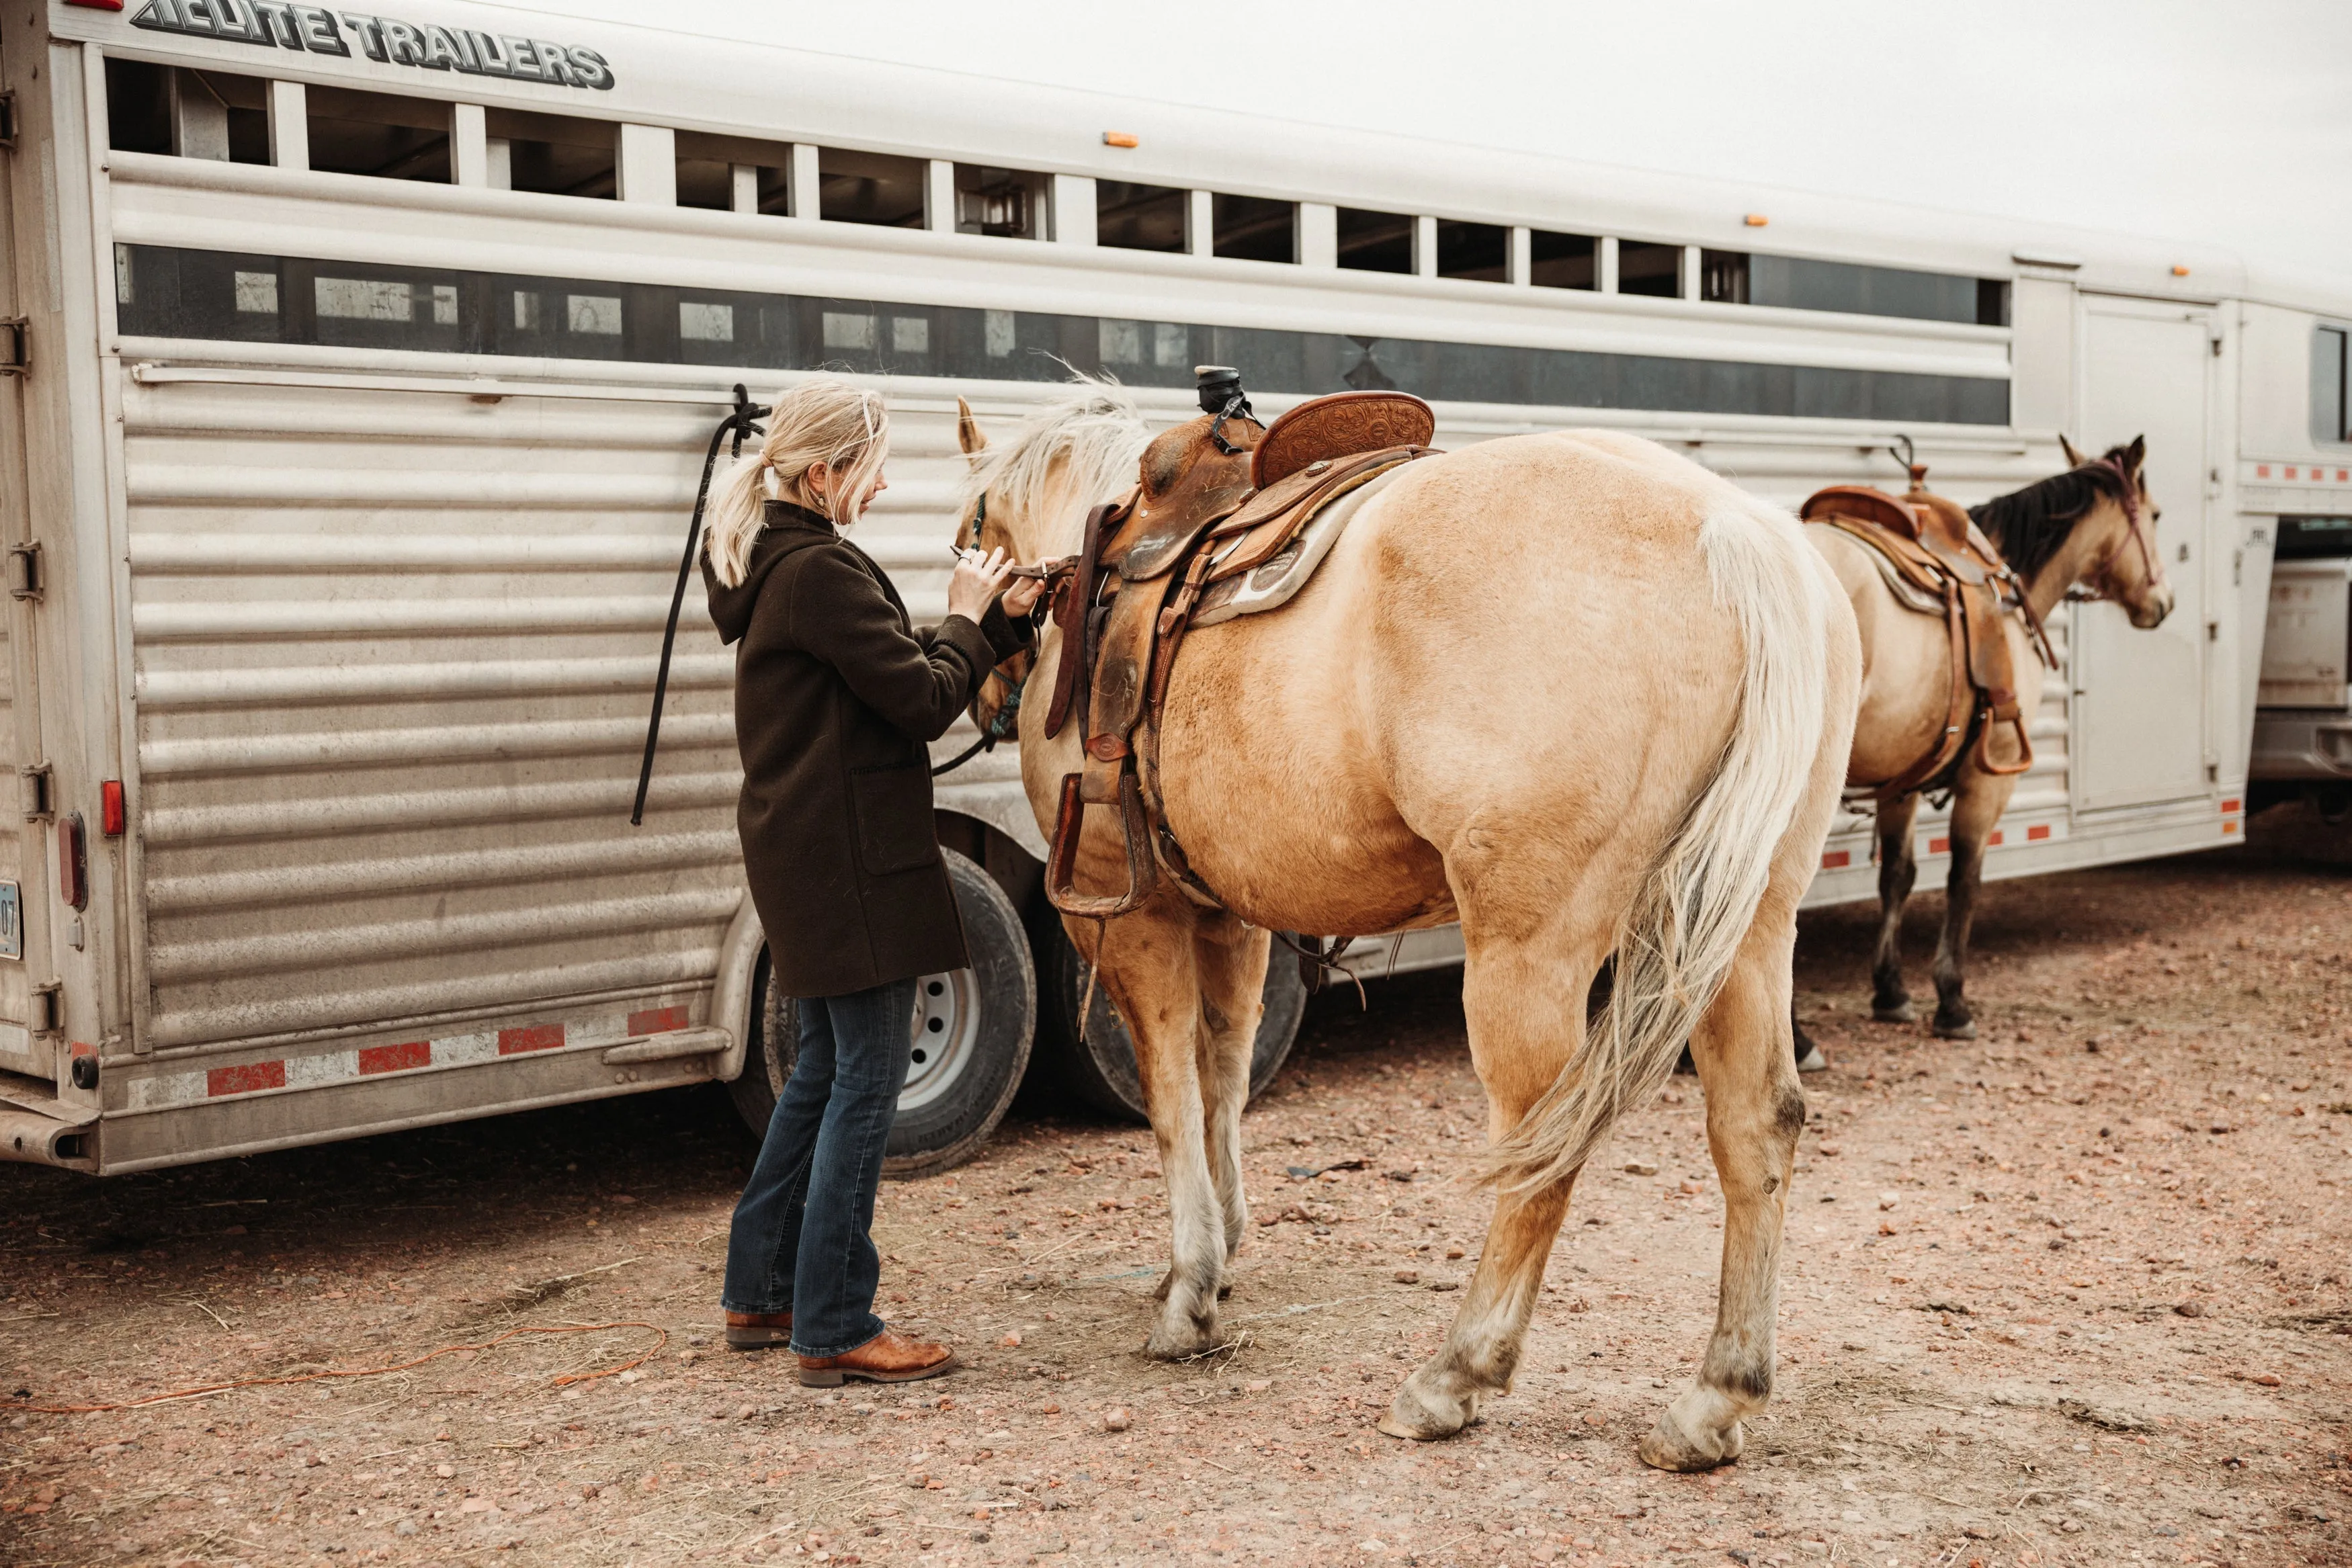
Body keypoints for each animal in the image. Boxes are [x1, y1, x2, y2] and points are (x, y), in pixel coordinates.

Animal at [950, 380, 1853, 1476]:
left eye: (973, 529)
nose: (985, 690)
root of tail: (1733, 531)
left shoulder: (1130, 915)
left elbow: (1170, 1092)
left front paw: (1188, 1292)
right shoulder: (1228, 912)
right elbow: (1224, 1072)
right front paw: (1220, 1252)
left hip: (1532, 948)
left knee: (1541, 1147)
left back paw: (1454, 1373)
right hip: (1745, 925)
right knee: (1756, 1124)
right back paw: (1715, 1398)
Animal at [1806, 435, 2173, 1048]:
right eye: (2156, 514)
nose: (2163, 603)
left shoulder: (1900, 780)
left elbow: (1897, 876)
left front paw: (1891, 991)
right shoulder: (1988, 780)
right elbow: (1965, 879)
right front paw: (1952, 1001)